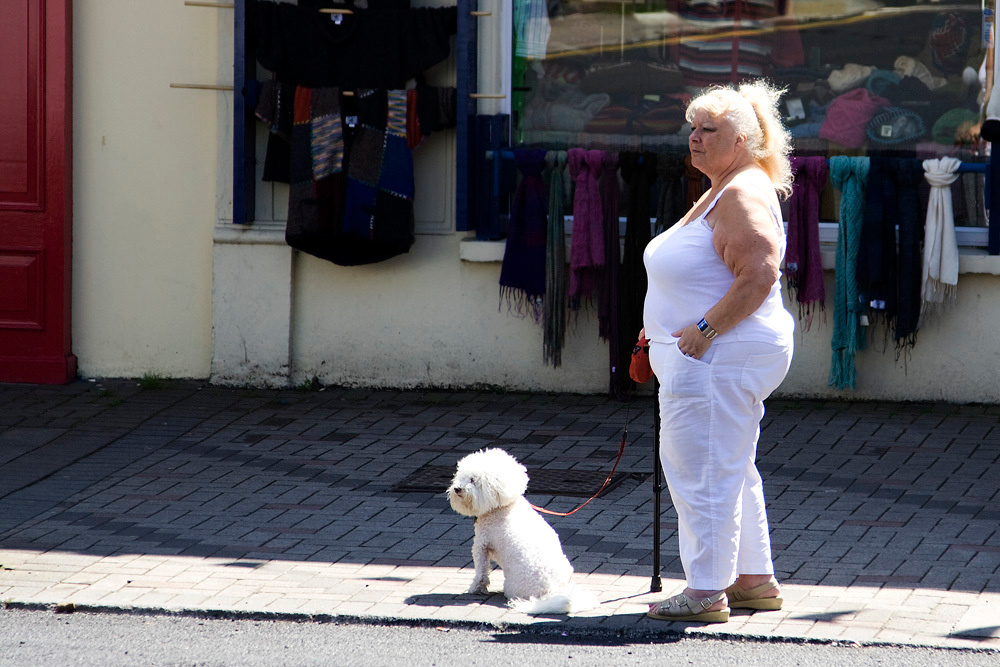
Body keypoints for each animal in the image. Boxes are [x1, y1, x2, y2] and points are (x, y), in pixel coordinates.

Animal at [448, 448, 596, 616]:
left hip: (512, 585)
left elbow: (481, 571)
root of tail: (552, 592)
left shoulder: (481, 545)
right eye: (461, 476)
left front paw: (475, 588)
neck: (501, 507)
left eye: (473, 480)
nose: (457, 489)